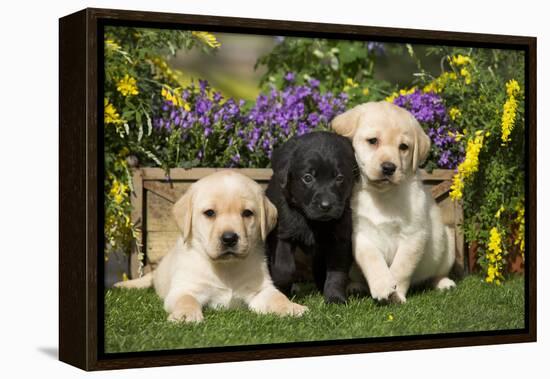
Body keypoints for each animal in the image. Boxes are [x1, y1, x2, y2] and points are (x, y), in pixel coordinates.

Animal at [115, 171, 310, 322]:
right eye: (209, 213)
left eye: (247, 213)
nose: (229, 238)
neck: (226, 267)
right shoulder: (184, 289)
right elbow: (186, 299)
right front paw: (185, 315)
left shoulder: (261, 290)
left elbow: (277, 297)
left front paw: (292, 307)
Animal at [266, 132, 358, 304]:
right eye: (307, 177)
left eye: (339, 178)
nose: (326, 205)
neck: (313, 222)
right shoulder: (283, 234)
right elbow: (284, 268)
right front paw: (282, 289)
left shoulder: (340, 238)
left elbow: (337, 271)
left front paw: (335, 298)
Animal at [332, 102, 458, 304]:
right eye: (373, 141)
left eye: (403, 147)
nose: (389, 167)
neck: (382, 195)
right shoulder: (360, 234)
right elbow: (371, 259)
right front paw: (383, 285)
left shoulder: (414, 235)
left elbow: (402, 267)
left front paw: (396, 294)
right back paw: (355, 286)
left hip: (447, 243)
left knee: (437, 273)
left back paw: (444, 283)